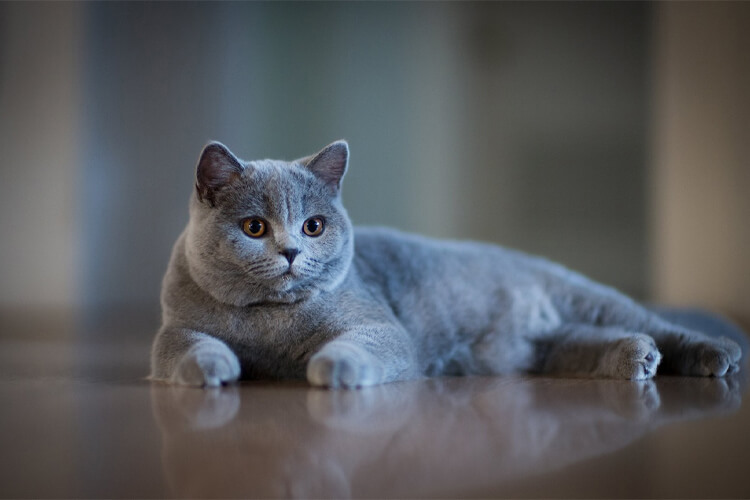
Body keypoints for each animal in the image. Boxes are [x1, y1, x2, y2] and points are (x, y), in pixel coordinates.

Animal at [150, 139, 744, 388]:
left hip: (586, 298)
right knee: (587, 345)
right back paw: (636, 358)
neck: (271, 319)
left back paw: (715, 353)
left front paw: (333, 369)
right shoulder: (175, 330)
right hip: (542, 348)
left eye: (314, 227)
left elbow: (355, 345)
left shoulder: (378, 326)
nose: (292, 251)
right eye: (255, 228)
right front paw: (213, 369)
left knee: (656, 323)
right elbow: (190, 348)